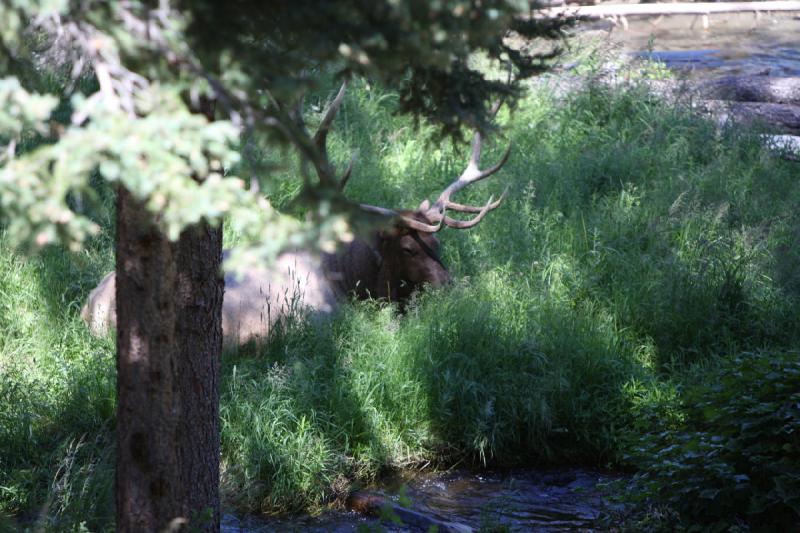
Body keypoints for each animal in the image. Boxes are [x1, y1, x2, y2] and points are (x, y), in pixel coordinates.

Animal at [79, 79, 506, 344]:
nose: (451, 287)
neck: (349, 279)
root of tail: (92, 309)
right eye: (408, 248)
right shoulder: (326, 319)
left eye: (438, 244)